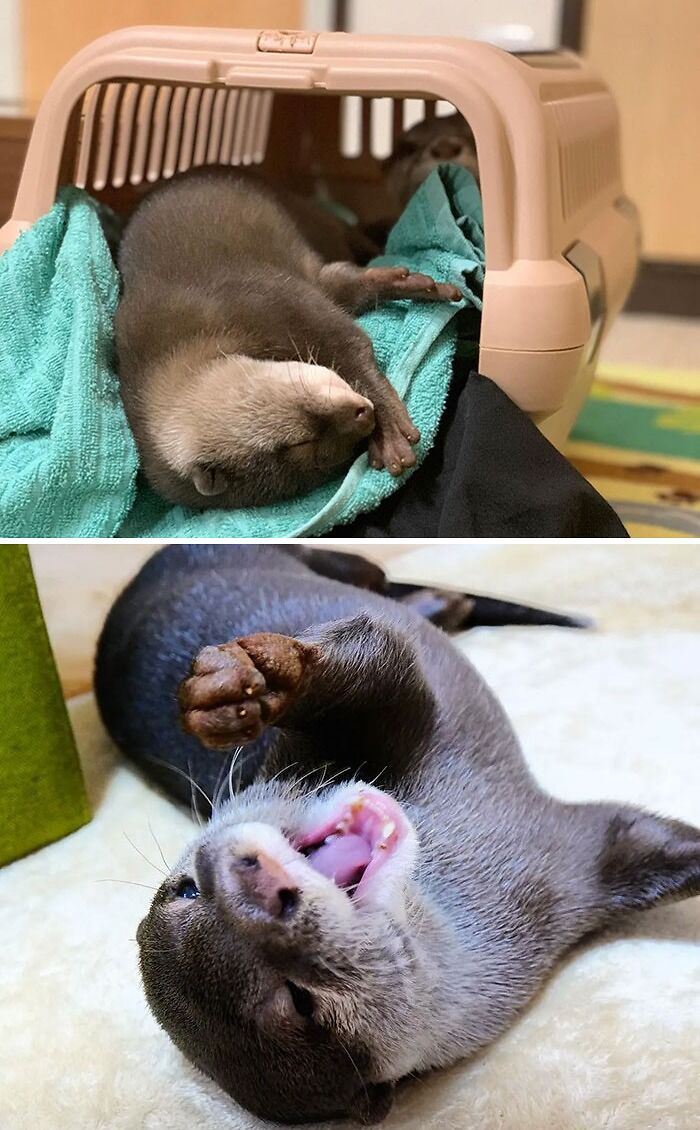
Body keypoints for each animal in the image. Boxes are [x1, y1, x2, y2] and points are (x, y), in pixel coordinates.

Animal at [94, 546, 700, 1125]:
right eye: (299, 1003)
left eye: (186, 889)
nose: (252, 886)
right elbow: (387, 656)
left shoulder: (573, 864)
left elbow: (375, 655)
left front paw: (258, 677)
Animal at [115, 170, 461, 510]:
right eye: (318, 452)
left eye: (299, 441)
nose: (365, 416)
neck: (177, 345)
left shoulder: (265, 298)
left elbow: (347, 343)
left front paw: (388, 430)